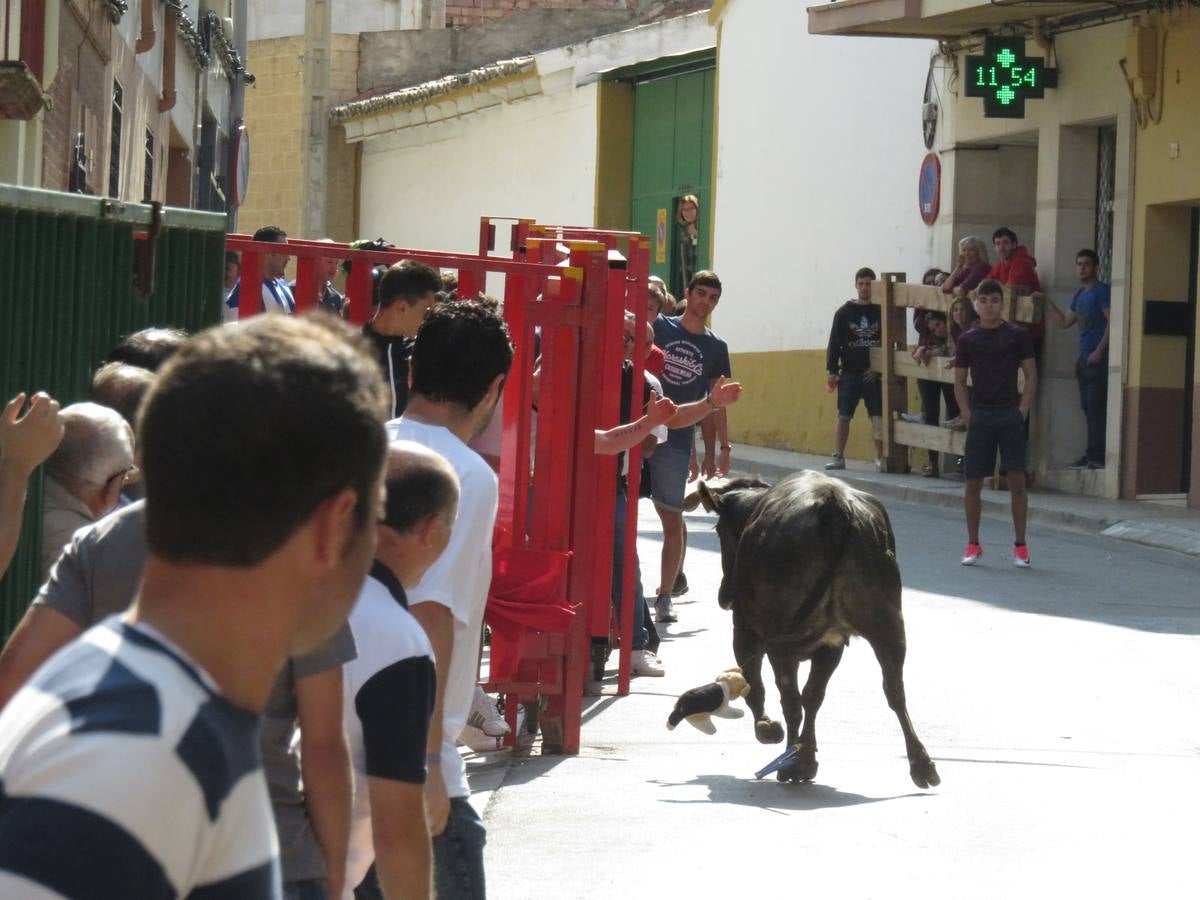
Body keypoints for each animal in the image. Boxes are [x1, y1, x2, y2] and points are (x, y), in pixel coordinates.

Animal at [696, 472, 936, 787]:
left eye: (719, 530)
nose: (724, 597)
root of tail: (834, 508)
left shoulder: (745, 628)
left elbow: (755, 681)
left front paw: (768, 729)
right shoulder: (832, 644)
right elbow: (814, 695)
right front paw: (807, 756)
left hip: (779, 638)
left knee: (789, 697)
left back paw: (789, 762)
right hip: (887, 624)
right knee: (894, 689)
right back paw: (921, 764)